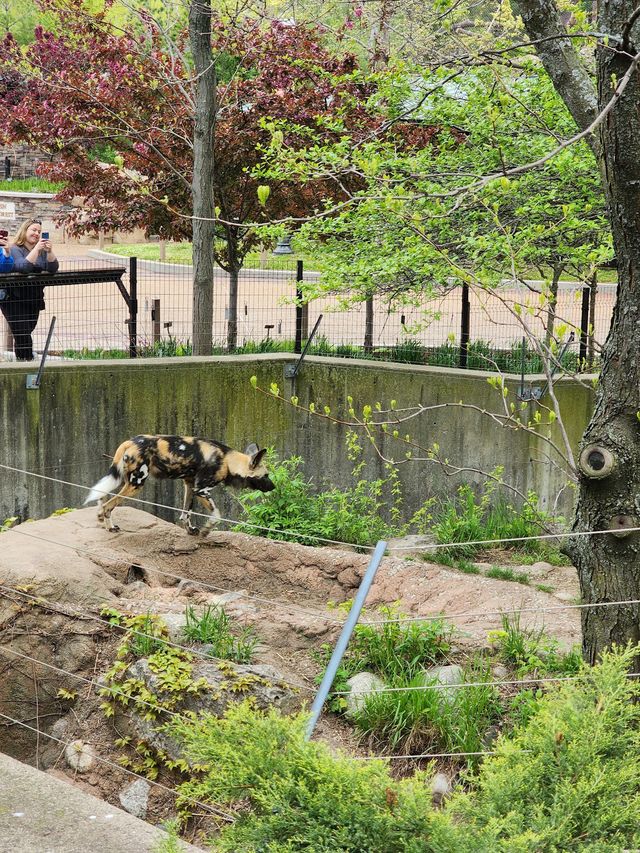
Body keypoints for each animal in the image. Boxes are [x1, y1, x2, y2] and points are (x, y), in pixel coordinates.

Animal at [84, 432, 272, 532]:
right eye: (266, 475)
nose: (274, 486)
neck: (227, 460)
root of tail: (130, 441)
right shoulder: (201, 490)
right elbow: (216, 515)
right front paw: (206, 531)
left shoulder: (190, 486)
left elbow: (185, 513)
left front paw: (191, 531)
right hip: (136, 483)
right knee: (108, 505)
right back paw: (110, 527)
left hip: (123, 479)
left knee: (102, 497)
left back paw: (101, 518)